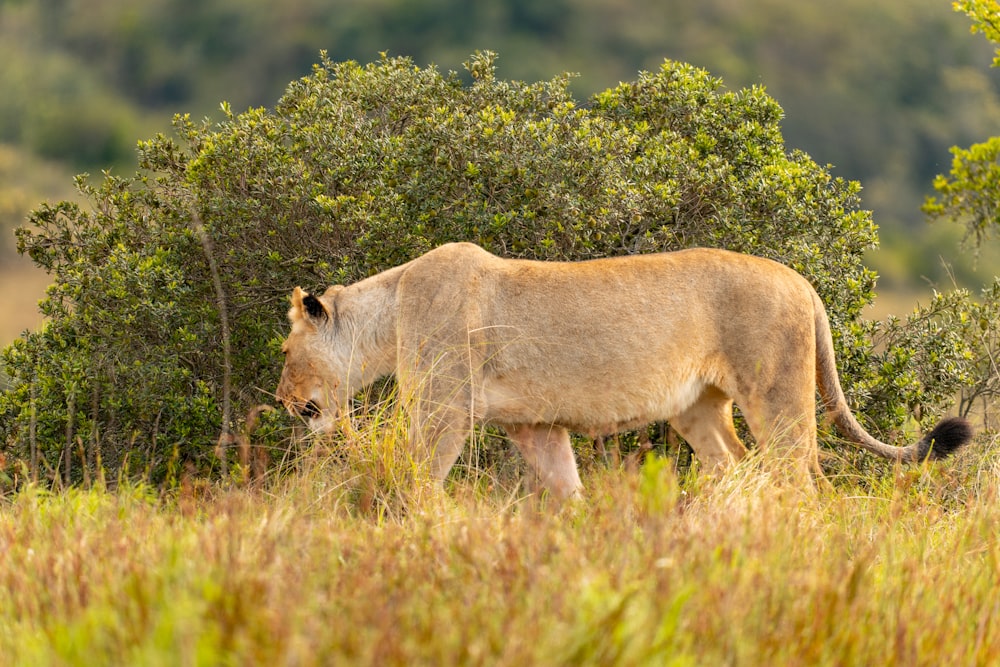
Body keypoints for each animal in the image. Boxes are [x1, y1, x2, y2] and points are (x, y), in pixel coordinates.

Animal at [274, 241, 968, 500]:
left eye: (284, 351)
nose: (281, 399)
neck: (389, 314)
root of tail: (806, 284)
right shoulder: (534, 425)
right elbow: (566, 487)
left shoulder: (446, 407)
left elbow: (417, 474)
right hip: (698, 407)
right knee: (737, 464)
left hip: (778, 395)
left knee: (800, 474)